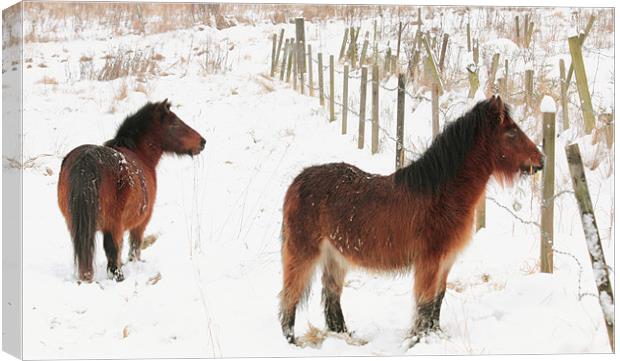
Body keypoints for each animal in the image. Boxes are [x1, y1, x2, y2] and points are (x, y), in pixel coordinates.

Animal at [57, 100, 206, 282]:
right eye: (175, 123)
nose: (202, 142)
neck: (140, 154)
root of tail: (86, 160)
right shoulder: (141, 223)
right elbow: (133, 247)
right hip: (113, 225)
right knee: (112, 253)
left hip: (75, 224)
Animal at [278, 95, 544, 346]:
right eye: (511, 132)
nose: (540, 161)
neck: (441, 193)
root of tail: (298, 181)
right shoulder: (430, 261)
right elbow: (425, 302)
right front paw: (419, 339)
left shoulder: (445, 261)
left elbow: (438, 299)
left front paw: (435, 335)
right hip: (303, 253)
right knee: (290, 295)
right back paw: (291, 340)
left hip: (336, 256)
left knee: (331, 296)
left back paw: (345, 336)